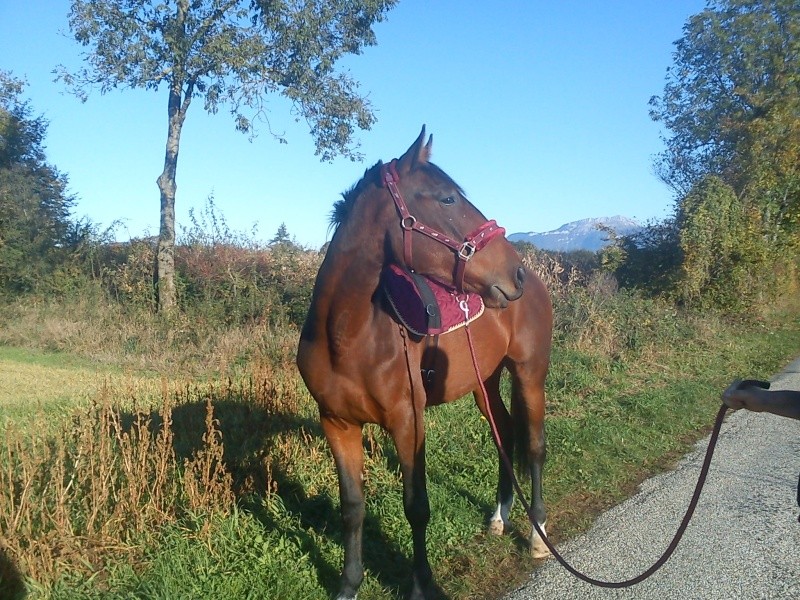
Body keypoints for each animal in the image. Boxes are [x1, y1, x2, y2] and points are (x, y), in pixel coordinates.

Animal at [296, 129, 552, 596]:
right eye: (447, 198)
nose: (516, 273)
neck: (348, 336)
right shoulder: (337, 423)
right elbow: (352, 507)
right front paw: (348, 584)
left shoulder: (408, 422)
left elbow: (416, 506)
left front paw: (420, 585)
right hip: (484, 383)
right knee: (505, 433)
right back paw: (499, 517)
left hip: (530, 374)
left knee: (536, 446)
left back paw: (538, 534)